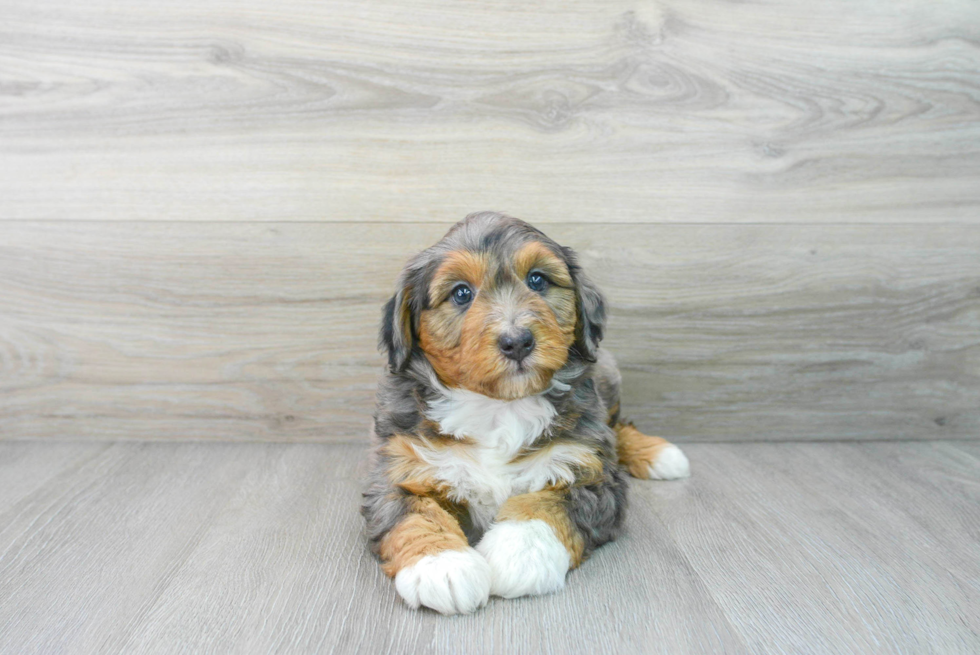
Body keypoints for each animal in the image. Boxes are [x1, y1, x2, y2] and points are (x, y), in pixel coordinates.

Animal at [360, 211, 688, 616]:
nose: (516, 341)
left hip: (607, 380)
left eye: (537, 280)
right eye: (461, 293)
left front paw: (517, 554)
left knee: (618, 426)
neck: (499, 407)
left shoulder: (592, 473)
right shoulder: (399, 470)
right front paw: (443, 567)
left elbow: (548, 502)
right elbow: (414, 512)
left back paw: (660, 454)